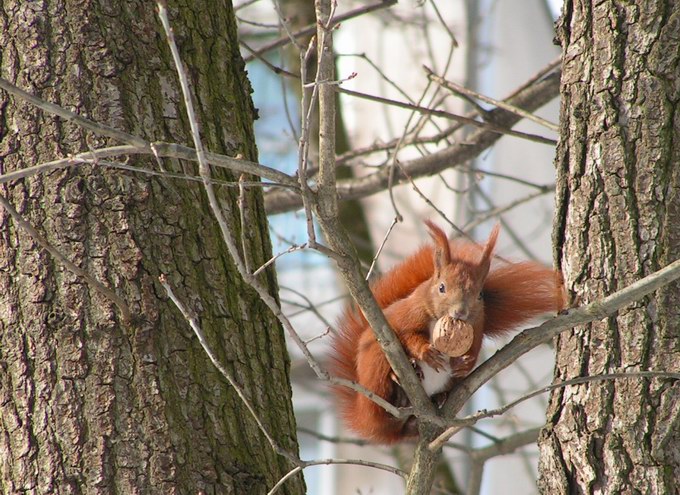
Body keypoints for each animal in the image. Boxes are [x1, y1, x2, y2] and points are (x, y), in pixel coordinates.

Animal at [330, 222, 564, 446]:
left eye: (480, 295)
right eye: (441, 287)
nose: (460, 312)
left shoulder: (477, 328)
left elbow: (474, 350)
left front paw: (463, 363)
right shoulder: (404, 316)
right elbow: (407, 336)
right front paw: (426, 352)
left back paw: (437, 398)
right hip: (376, 362)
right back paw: (398, 389)